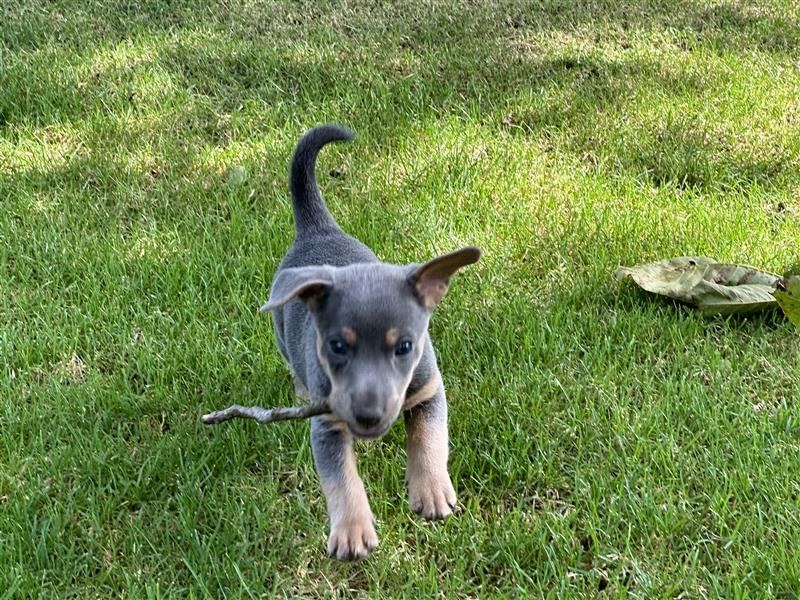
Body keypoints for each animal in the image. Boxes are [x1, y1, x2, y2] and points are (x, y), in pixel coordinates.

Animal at [260, 124, 478, 560]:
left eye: (405, 347)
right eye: (337, 347)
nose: (367, 416)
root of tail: (318, 228)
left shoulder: (429, 390)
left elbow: (429, 439)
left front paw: (431, 490)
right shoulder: (327, 425)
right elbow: (340, 478)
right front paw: (352, 531)